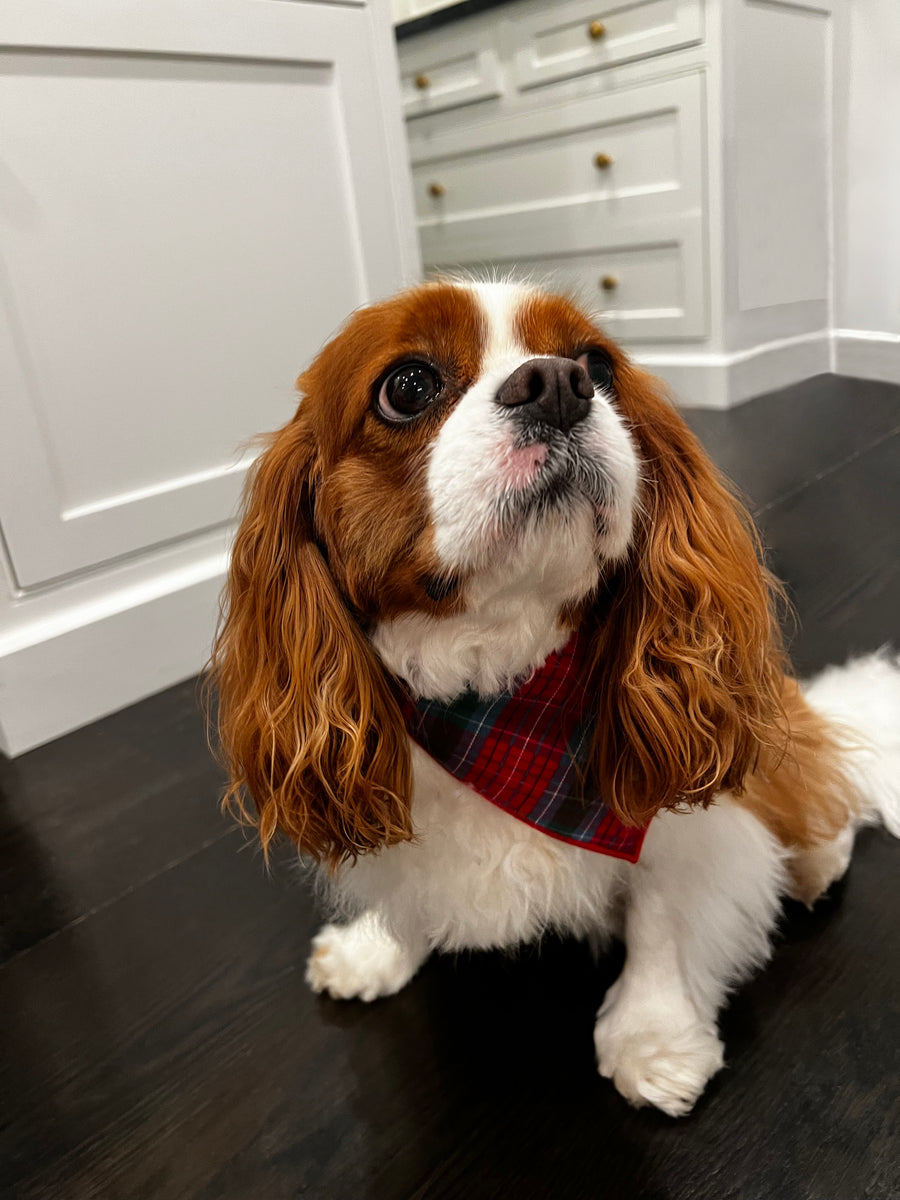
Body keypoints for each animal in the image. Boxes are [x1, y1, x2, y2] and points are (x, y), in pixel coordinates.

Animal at [213, 278, 900, 1113]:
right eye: (406, 387)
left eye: (597, 365)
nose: (559, 384)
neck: (497, 690)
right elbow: (408, 888)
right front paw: (375, 949)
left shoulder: (679, 823)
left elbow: (663, 912)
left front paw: (654, 1037)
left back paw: (815, 860)